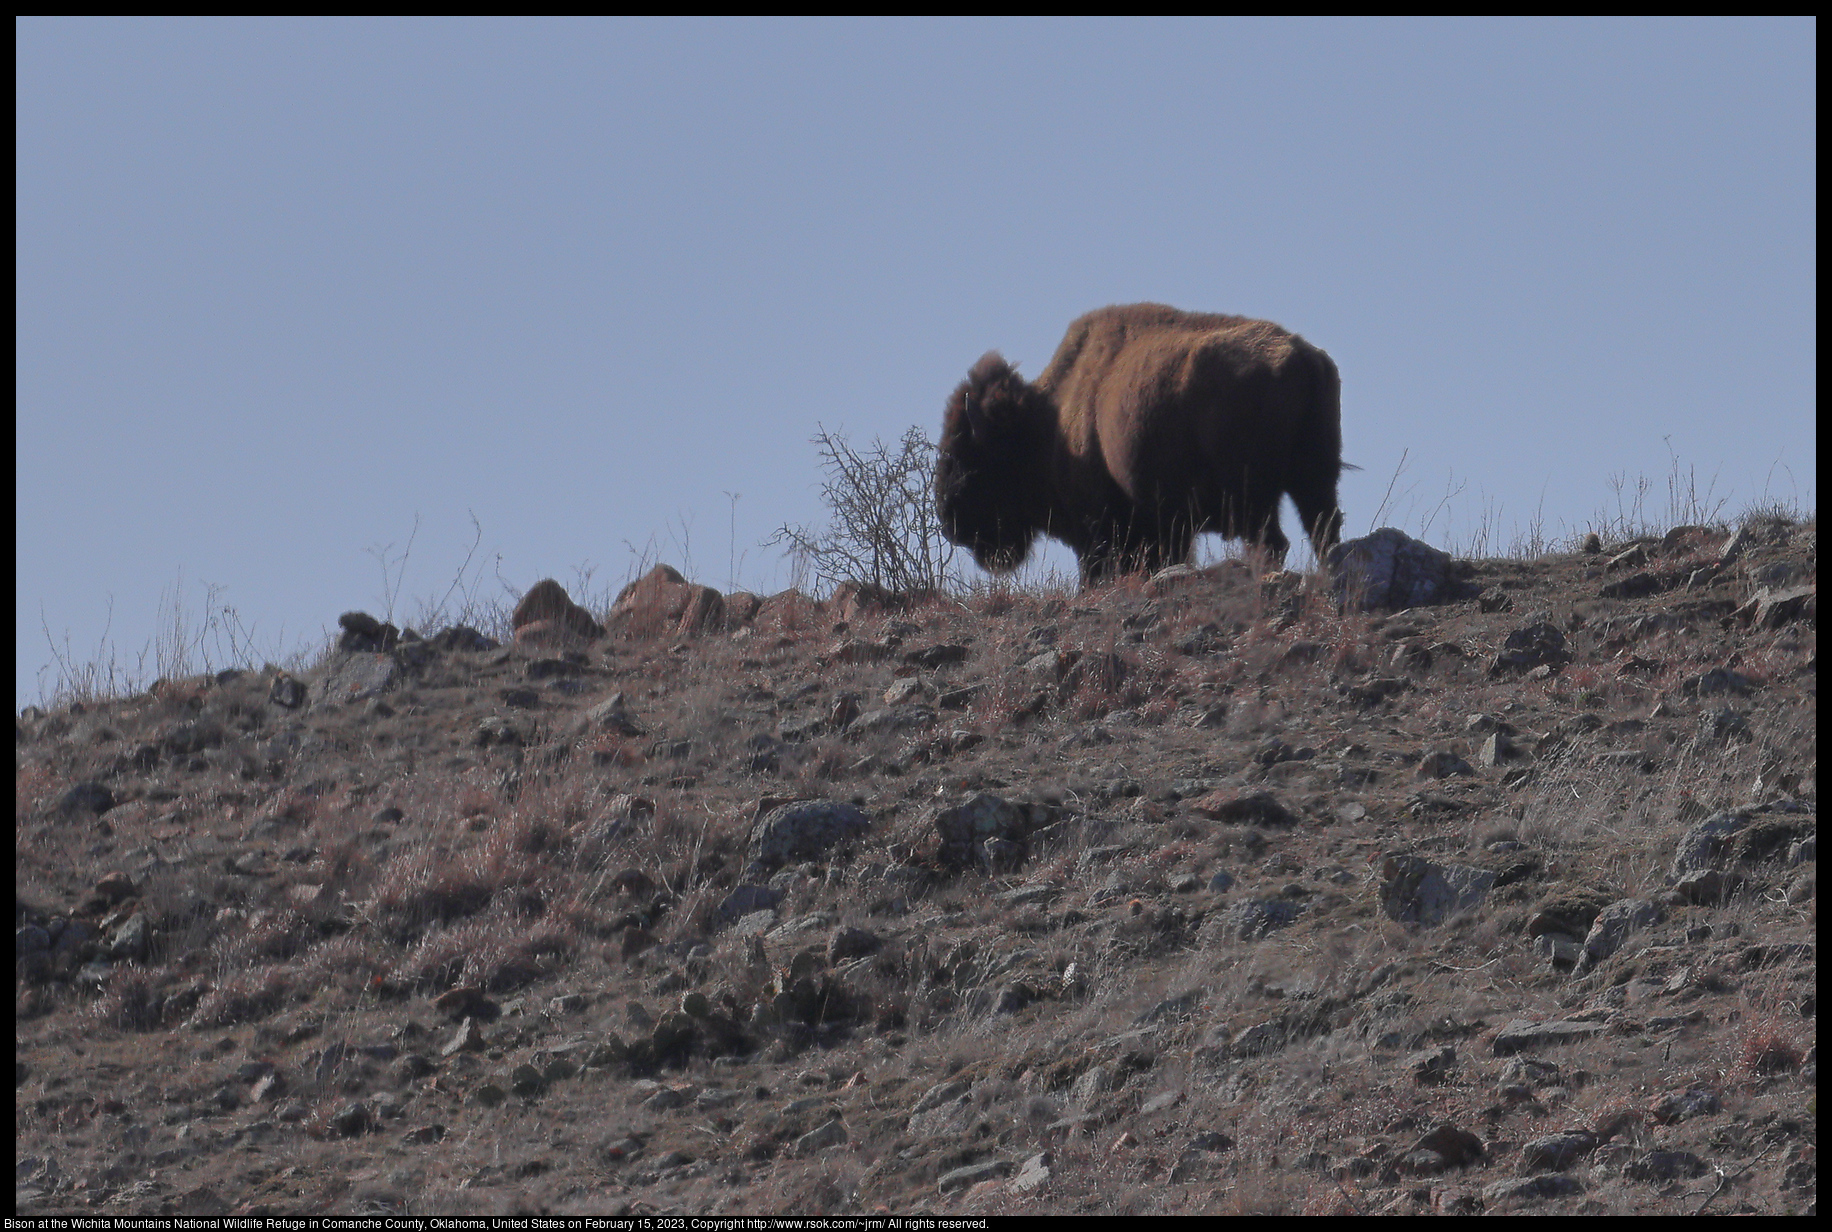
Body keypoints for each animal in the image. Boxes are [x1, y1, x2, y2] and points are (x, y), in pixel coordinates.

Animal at [930, 300, 1348, 583]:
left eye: (964, 456)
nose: (950, 523)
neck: (1049, 419)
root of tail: (1299, 353)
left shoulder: (1099, 528)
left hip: (1253, 498)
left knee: (1273, 542)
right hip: (1316, 480)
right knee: (1324, 531)